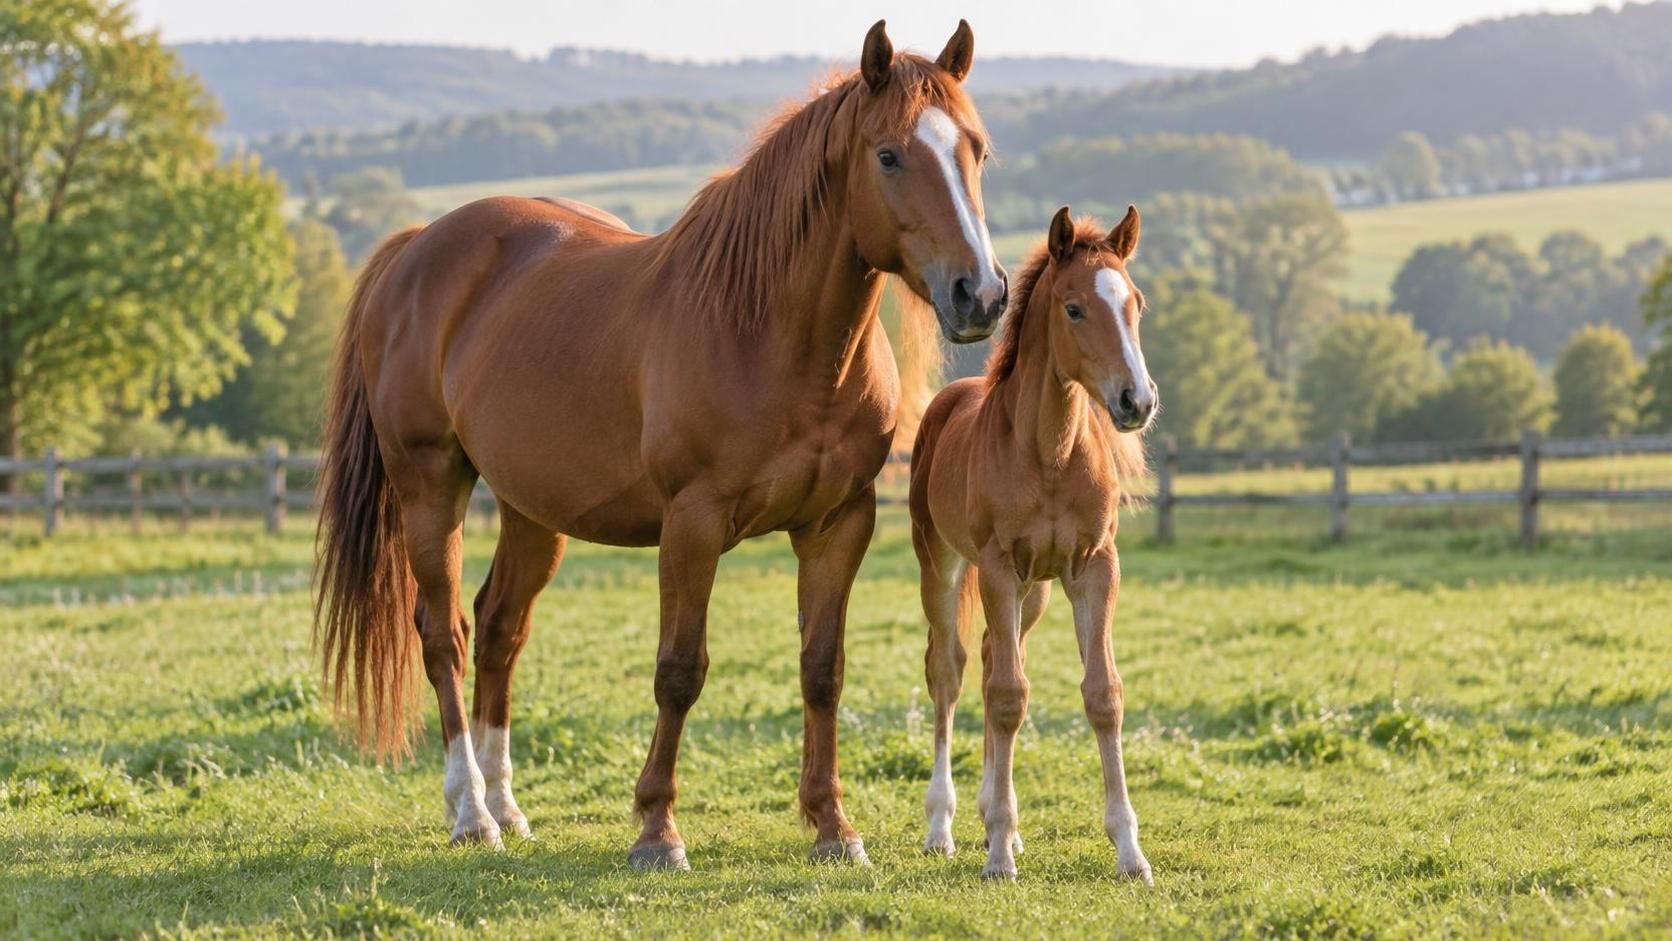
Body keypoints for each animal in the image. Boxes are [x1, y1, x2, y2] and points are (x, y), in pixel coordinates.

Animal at [314, 19, 1008, 870]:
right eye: (888, 155)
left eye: (976, 149)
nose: (981, 294)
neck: (769, 334)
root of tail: (418, 245)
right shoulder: (692, 524)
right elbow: (680, 670)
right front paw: (656, 828)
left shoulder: (838, 524)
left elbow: (822, 670)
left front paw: (833, 825)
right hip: (430, 484)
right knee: (445, 634)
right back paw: (470, 811)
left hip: (529, 508)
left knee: (501, 628)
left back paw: (507, 806)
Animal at [908, 205, 1158, 881]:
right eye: (1074, 308)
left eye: (1136, 303)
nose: (1137, 400)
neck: (1050, 454)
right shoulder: (995, 567)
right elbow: (1006, 697)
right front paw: (996, 854)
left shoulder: (1093, 568)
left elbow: (1102, 694)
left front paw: (1130, 852)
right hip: (943, 567)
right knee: (951, 671)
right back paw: (943, 826)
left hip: (1034, 592)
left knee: (996, 654)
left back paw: (1002, 819)